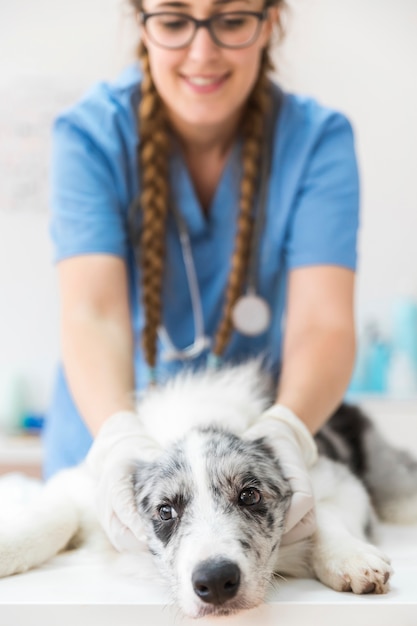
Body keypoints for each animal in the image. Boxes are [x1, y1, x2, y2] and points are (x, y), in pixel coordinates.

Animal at [0, 358, 416, 616]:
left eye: (250, 494)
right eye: (165, 510)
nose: (215, 582)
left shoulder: (339, 482)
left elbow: (325, 513)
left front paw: (350, 558)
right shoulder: (84, 490)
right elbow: (51, 516)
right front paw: (10, 543)